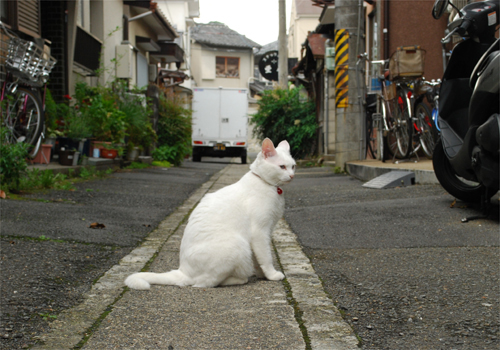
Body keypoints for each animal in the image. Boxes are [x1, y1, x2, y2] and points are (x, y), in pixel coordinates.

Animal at [125, 138, 294, 288]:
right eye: (282, 167)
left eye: (293, 166)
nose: (292, 175)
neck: (269, 186)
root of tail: (183, 271)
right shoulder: (260, 232)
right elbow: (266, 257)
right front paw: (272, 275)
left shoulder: (263, 233)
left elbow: (258, 260)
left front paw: (262, 275)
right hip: (237, 245)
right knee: (206, 283)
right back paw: (240, 279)